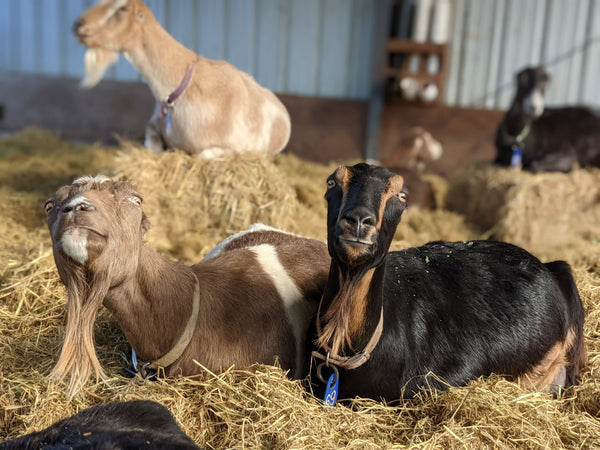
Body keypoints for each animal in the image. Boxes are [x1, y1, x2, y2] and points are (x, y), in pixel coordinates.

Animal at [74, 0, 292, 158]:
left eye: (122, 8)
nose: (78, 24)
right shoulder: (152, 126)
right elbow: (152, 145)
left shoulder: (230, 148)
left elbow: (199, 155)